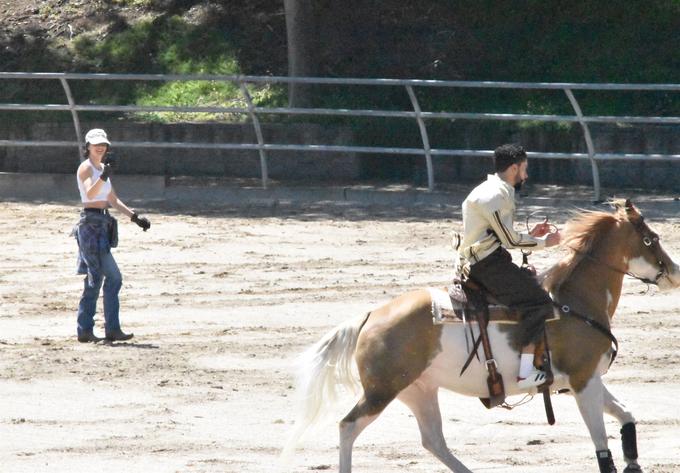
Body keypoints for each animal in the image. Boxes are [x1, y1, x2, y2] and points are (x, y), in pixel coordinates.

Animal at [282, 200, 680, 472]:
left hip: (418, 390)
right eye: (651, 238)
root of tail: (370, 317)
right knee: (348, 427)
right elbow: (601, 442)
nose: (675, 273)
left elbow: (626, 416)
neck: (574, 300)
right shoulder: (584, 382)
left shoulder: (588, 379)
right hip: (382, 391)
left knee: (433, 440)